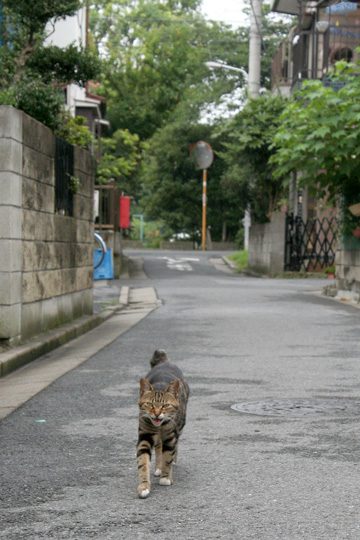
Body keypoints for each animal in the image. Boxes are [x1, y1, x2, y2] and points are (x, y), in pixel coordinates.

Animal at [136, 350, 190, 498]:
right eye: (149, 404)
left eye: (165, 405)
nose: (156, 413)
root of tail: (165, 362)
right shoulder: (145, 435)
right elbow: (143, 462)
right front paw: (144, 486)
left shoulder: (171, 435)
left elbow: (168, 455)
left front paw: (166, 477)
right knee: (159, 446)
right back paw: (158, 467)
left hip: (180, 426)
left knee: (174, 446)